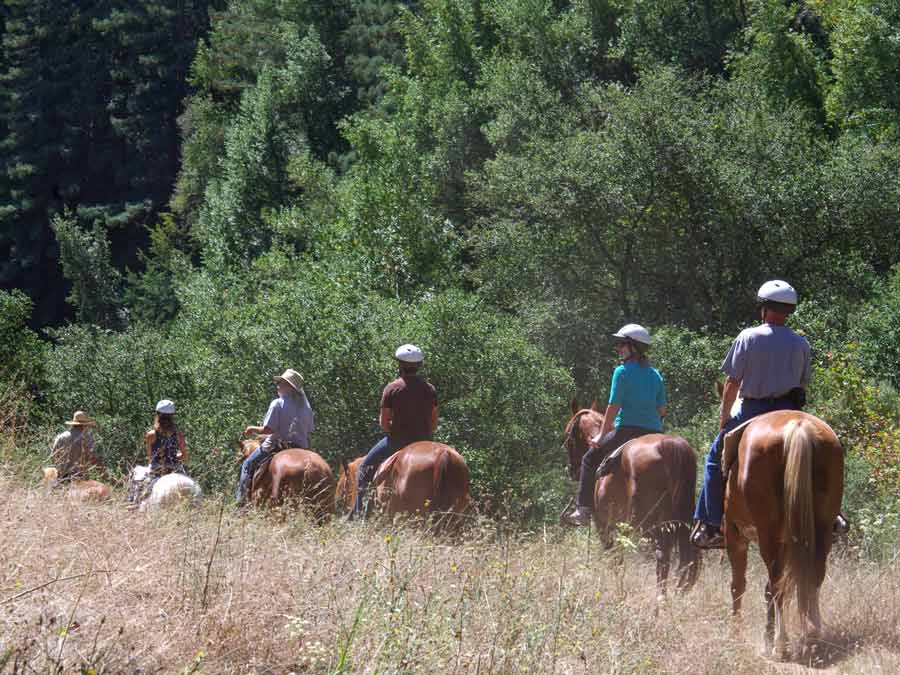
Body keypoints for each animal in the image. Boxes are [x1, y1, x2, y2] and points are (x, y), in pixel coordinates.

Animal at [564, 398, 704, 596]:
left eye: (569, 438)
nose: (571, 471)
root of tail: (669, 446)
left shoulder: (603, 523)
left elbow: (614, 556)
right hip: (676, 520)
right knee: (683, 558)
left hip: (649, 523)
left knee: (662, 556)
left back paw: (660, 599)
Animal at [724, 412, 844, 660]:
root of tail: (798, 427)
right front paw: (765, 637)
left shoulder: (735, 534)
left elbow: (738, 585)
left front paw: (736, 634)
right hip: (820, 530)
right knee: (813, 577)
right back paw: (811, 637)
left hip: (768, 535)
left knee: (778, 583)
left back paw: (782, 644)